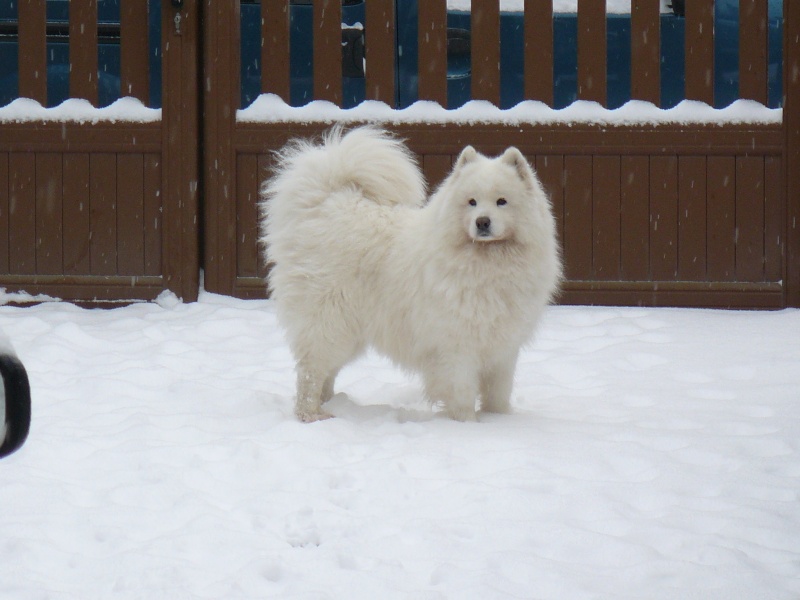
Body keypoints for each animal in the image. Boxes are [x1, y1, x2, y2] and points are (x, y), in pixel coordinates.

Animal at [262, 126, 564, 422]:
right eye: (472, 202)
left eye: (502, 201)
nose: (482, 222)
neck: (488, 262)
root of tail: (328, 203)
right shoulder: (457, 347)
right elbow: (462, 395)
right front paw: (468, 427)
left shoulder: (503, 349)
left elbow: (498, 395)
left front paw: (502, 423)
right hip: (329, 321)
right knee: (310, 370)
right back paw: (310, 414)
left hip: (348, 331)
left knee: (327, 370)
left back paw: (330, 404)